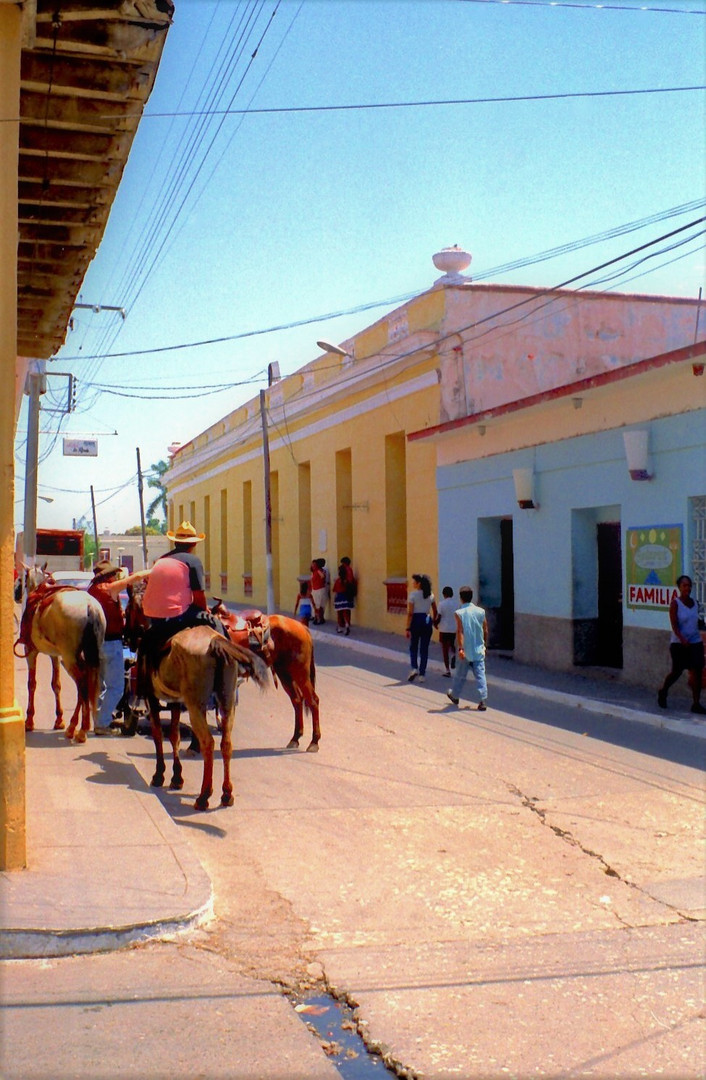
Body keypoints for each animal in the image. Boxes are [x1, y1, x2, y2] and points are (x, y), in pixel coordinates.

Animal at [14, 574, 106, 743]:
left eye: (21, 580)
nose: (16, 594)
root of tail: (90, 606)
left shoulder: (30, 651)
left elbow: (32, 684)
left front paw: (29, 721)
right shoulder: (55, 655)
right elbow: (56, 684)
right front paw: (59, 720)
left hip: (69, 658)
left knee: (82, 683)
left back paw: (79, 729)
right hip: (86, 656)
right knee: (86, 682)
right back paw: (76, 727)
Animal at [143, 626, 268, 812]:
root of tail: (215, 641)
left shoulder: (152, 698)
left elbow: (158, 735)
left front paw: (159, 775)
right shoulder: (175, 701)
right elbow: (174, 736)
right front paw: (176, 777)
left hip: (196, 706)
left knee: (208, 743)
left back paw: (204, 796)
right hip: (228, 701)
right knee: (226, 744)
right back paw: (226, 794)